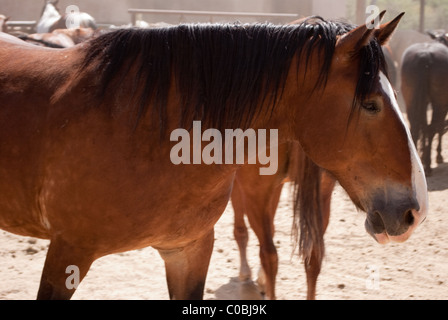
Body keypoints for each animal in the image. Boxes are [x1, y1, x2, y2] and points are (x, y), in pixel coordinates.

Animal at [400, 42, 448, 175]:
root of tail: (424, 55)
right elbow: (438, 128)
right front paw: (438, 156)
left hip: (410, 99)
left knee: (415, 129)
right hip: (439, 103)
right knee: (432, 128)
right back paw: (427, 164)